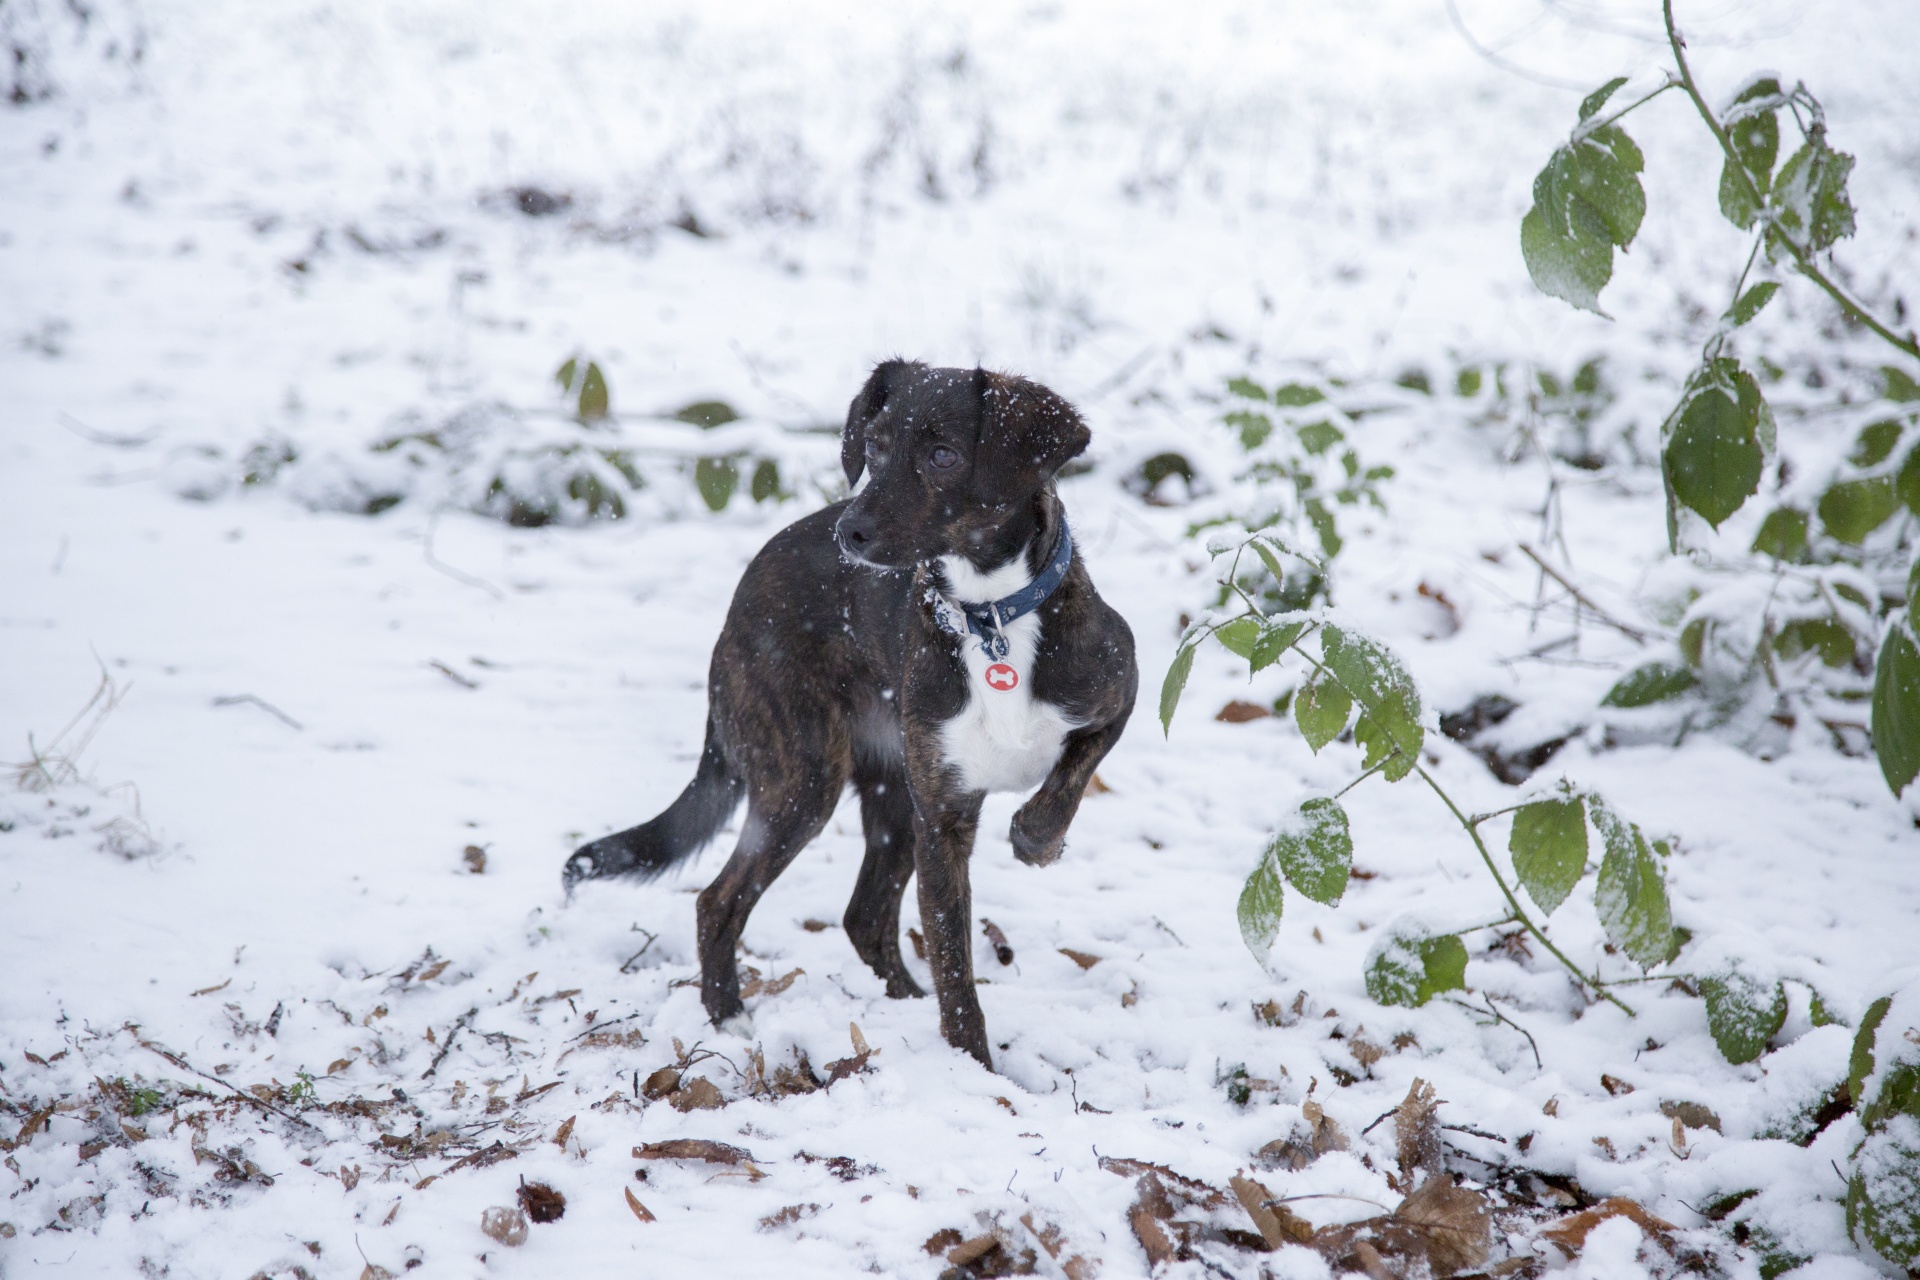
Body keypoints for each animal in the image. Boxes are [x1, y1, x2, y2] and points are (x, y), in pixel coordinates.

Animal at [568, 362, 1136, 1074]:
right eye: (876, 446)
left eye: (943, 455)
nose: (851, 532)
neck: (991, 618)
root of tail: (737, 605)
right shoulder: (942, 819)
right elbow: (954, 963)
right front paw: (975, 1069)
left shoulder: (1119, 692)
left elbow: (1070, 777)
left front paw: (1037, 837)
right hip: (803, 779)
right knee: (718, 900)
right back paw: (729, 1019)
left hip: (889, 793)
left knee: (863, 916)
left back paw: (900, 1001)